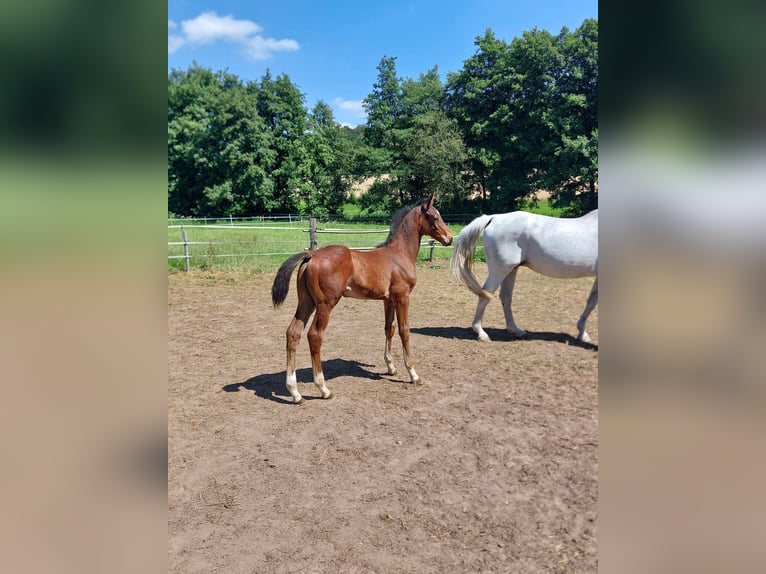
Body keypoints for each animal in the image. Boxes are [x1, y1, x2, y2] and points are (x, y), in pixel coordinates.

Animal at [271, 194, 453, 404]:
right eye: (434, 216)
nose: (450, 238)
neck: (399, 254)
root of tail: (311, 254)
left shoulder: (388, 300)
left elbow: (389, 328)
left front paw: (391, 367)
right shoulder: (402, 297)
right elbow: (404, 331)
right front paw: (413, 374)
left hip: (306, 302)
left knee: (293, 333)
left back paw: (295, 392)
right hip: (326, 304)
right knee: (315, 336)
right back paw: (323, 389)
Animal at [450, 209, 598, 343]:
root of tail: (494, 217)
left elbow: (591, 302)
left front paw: (582, 334)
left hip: (511, 270)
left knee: (505, 297)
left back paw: (516, 330)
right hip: (500, 270)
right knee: (485, 295)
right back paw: (482, 334)